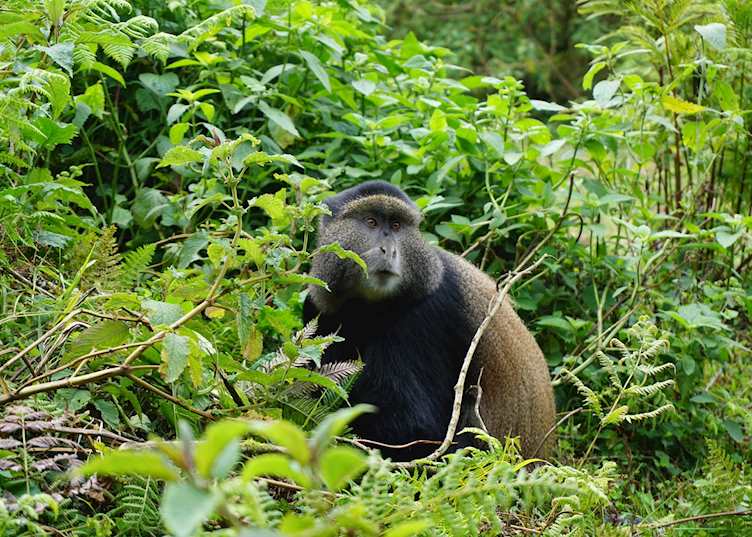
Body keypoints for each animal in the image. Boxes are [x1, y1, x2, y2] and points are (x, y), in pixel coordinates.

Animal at [303, 181, 555, 461]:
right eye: (371, 222)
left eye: (396, 225)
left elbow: (415, 426)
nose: (388, 250)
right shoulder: (318, 308)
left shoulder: (425, 319)